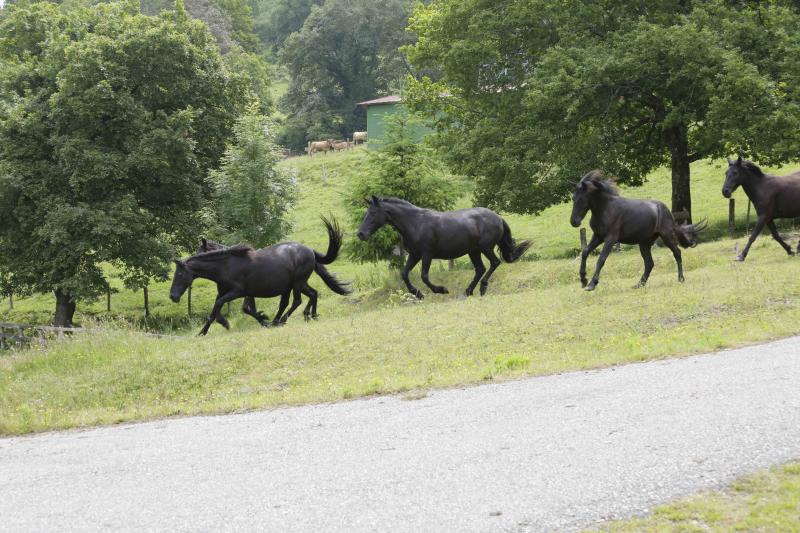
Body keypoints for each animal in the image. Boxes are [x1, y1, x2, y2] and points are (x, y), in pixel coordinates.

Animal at [170, 215, 348, 332]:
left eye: (179, 275)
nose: (173, 296)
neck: (226, 266)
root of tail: (310, 251)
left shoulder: (239, 292)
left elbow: (225, 307)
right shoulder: (236, 293)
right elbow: (218, 310)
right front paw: (206, 331)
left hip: (297, 283)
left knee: (297, 300)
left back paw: (282, 320)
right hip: (295, 284)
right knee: (310, 294)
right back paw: (307, 316)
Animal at [358, 195, 532, 298]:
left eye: (373, 213)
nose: (361, 234)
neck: (415, 223)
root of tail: (498, 217)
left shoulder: (426, 254)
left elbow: (424, 276)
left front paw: (441, 290)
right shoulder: (414, 254)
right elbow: (404, 274)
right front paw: (418, 294)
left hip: (485, 247)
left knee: (494, 263)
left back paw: (482, 288)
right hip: (473, 251)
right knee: (480, 269)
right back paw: (468, 291)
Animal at [568, 170, 708, 290]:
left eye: (582, 199)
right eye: (573, 198)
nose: (574, 222)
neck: (606, 209)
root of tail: (666, 211)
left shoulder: (610, 239)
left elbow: (601, 259)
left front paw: (591, 284)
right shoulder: (598, 236)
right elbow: (585, 252)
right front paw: (583, 280)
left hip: (666, 236)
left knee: (677, 253)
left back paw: (680, 279)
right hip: (644, 243)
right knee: (649, 263)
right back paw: (639, 284)